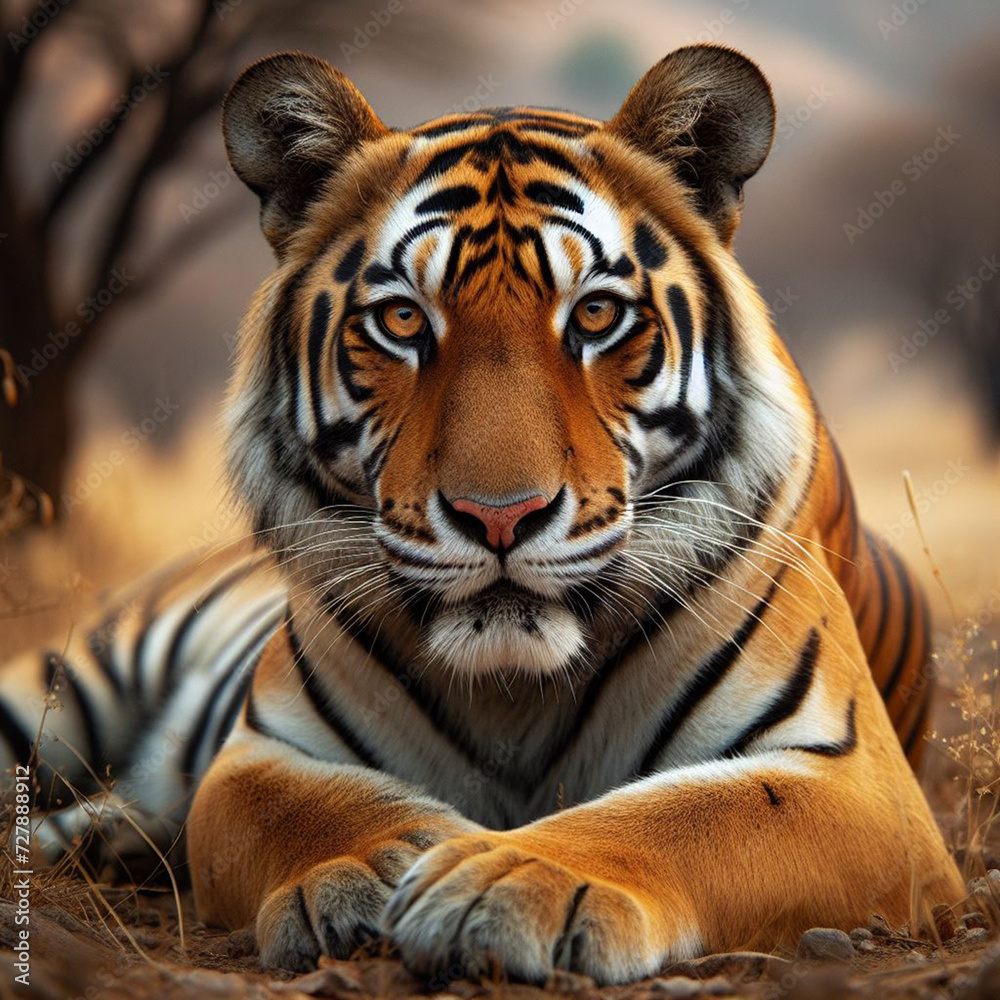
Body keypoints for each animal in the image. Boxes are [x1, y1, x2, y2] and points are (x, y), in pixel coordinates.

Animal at [0, 44, 963, 986]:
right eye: (401, 320)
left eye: (597, 314)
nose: (500, 518)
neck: (514, 693)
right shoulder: (260, 751)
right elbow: (310, 806)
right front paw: (379, 862)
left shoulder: (860, 783)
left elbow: (689, 817)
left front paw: (506, 881)